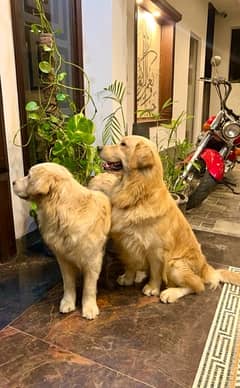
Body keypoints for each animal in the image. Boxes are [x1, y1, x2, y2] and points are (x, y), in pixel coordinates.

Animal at [14, 162, 112, 320]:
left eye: (29, 176)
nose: (13, 182)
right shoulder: (63, 258)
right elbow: (68, 283)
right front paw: (67, 302)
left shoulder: (92, 259)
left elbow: (89, 287)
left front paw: (89, 307)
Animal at [89, 136, 240, 304]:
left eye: (123, 144)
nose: (98, 147)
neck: (139, 195)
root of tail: (205, 267)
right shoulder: (126, 241)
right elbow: (130, 263)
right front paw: (128, 278)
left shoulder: (156, 249)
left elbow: (155, 272)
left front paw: (152, 288)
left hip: (175, 265)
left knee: (197, 286)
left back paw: (170, 293)